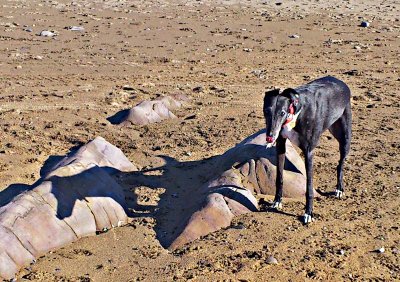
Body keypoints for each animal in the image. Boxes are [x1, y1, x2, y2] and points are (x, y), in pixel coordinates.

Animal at [264, 76, 352, 224]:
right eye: (266, 111)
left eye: (282, 112)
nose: (270, 137)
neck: (294, 112)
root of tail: (340, 82)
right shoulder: (281, 144)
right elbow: (279, 177)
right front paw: (277, 201)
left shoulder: (308, 152)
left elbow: (309, 188)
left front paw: (308, 213)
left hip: (345, 136)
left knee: (341, 162)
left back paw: (339, 189)